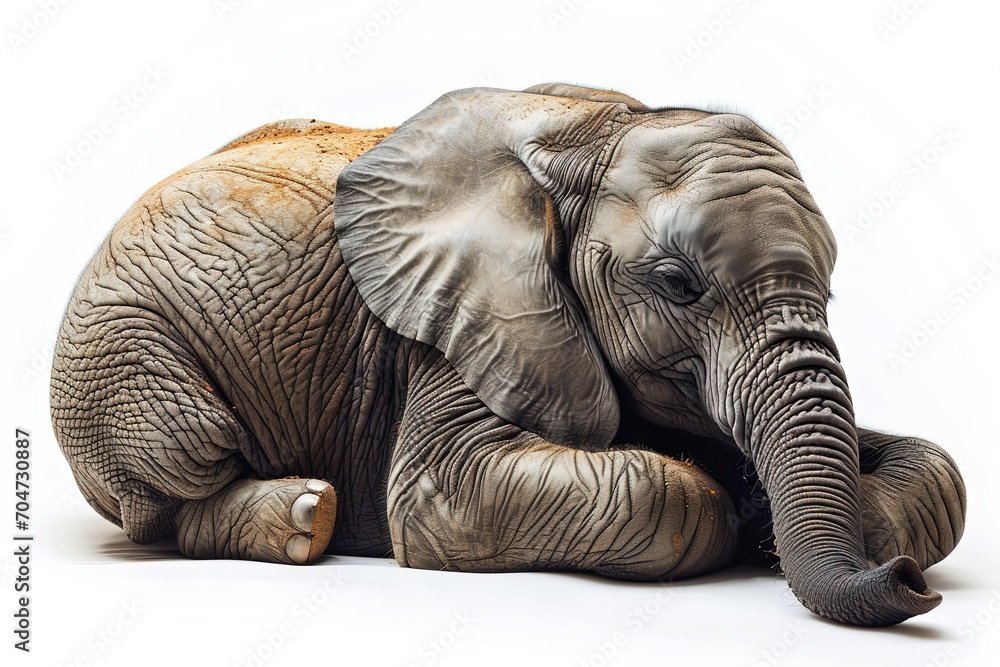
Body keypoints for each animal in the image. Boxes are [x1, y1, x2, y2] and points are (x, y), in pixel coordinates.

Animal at [49, 83, 966, 627]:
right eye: (678, 284)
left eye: (832, 291)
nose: (908, 579)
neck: (597, 127)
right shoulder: (457, 321)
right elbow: (453, 493)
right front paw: (738, 511)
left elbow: (939, 471)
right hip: (122, 355)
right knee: (176, 478)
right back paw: (309, 516)